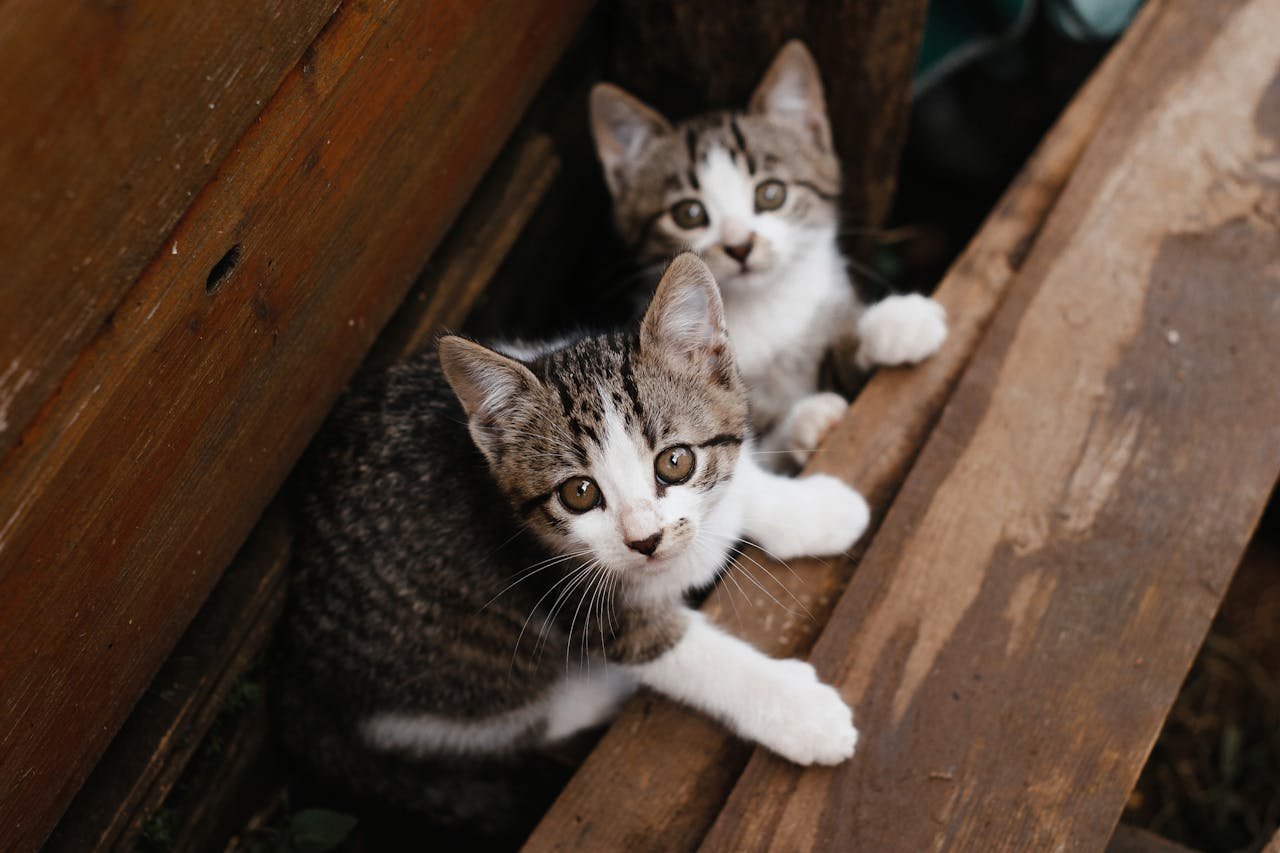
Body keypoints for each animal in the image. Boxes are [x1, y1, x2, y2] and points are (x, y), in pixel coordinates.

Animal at [273, 251, 865, 824]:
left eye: (675, 462)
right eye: (579, 493)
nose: (645, 540)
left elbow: (740, 486)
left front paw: (815, 510)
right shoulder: (568, 595)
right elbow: (686, 654)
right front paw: (800, 712)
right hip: (455, 673)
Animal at [591, 39, 952, 468]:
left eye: (771, 193)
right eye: (689, 214)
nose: (739, 245)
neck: (764, 307)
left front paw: (893, 323)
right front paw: (808, 418)